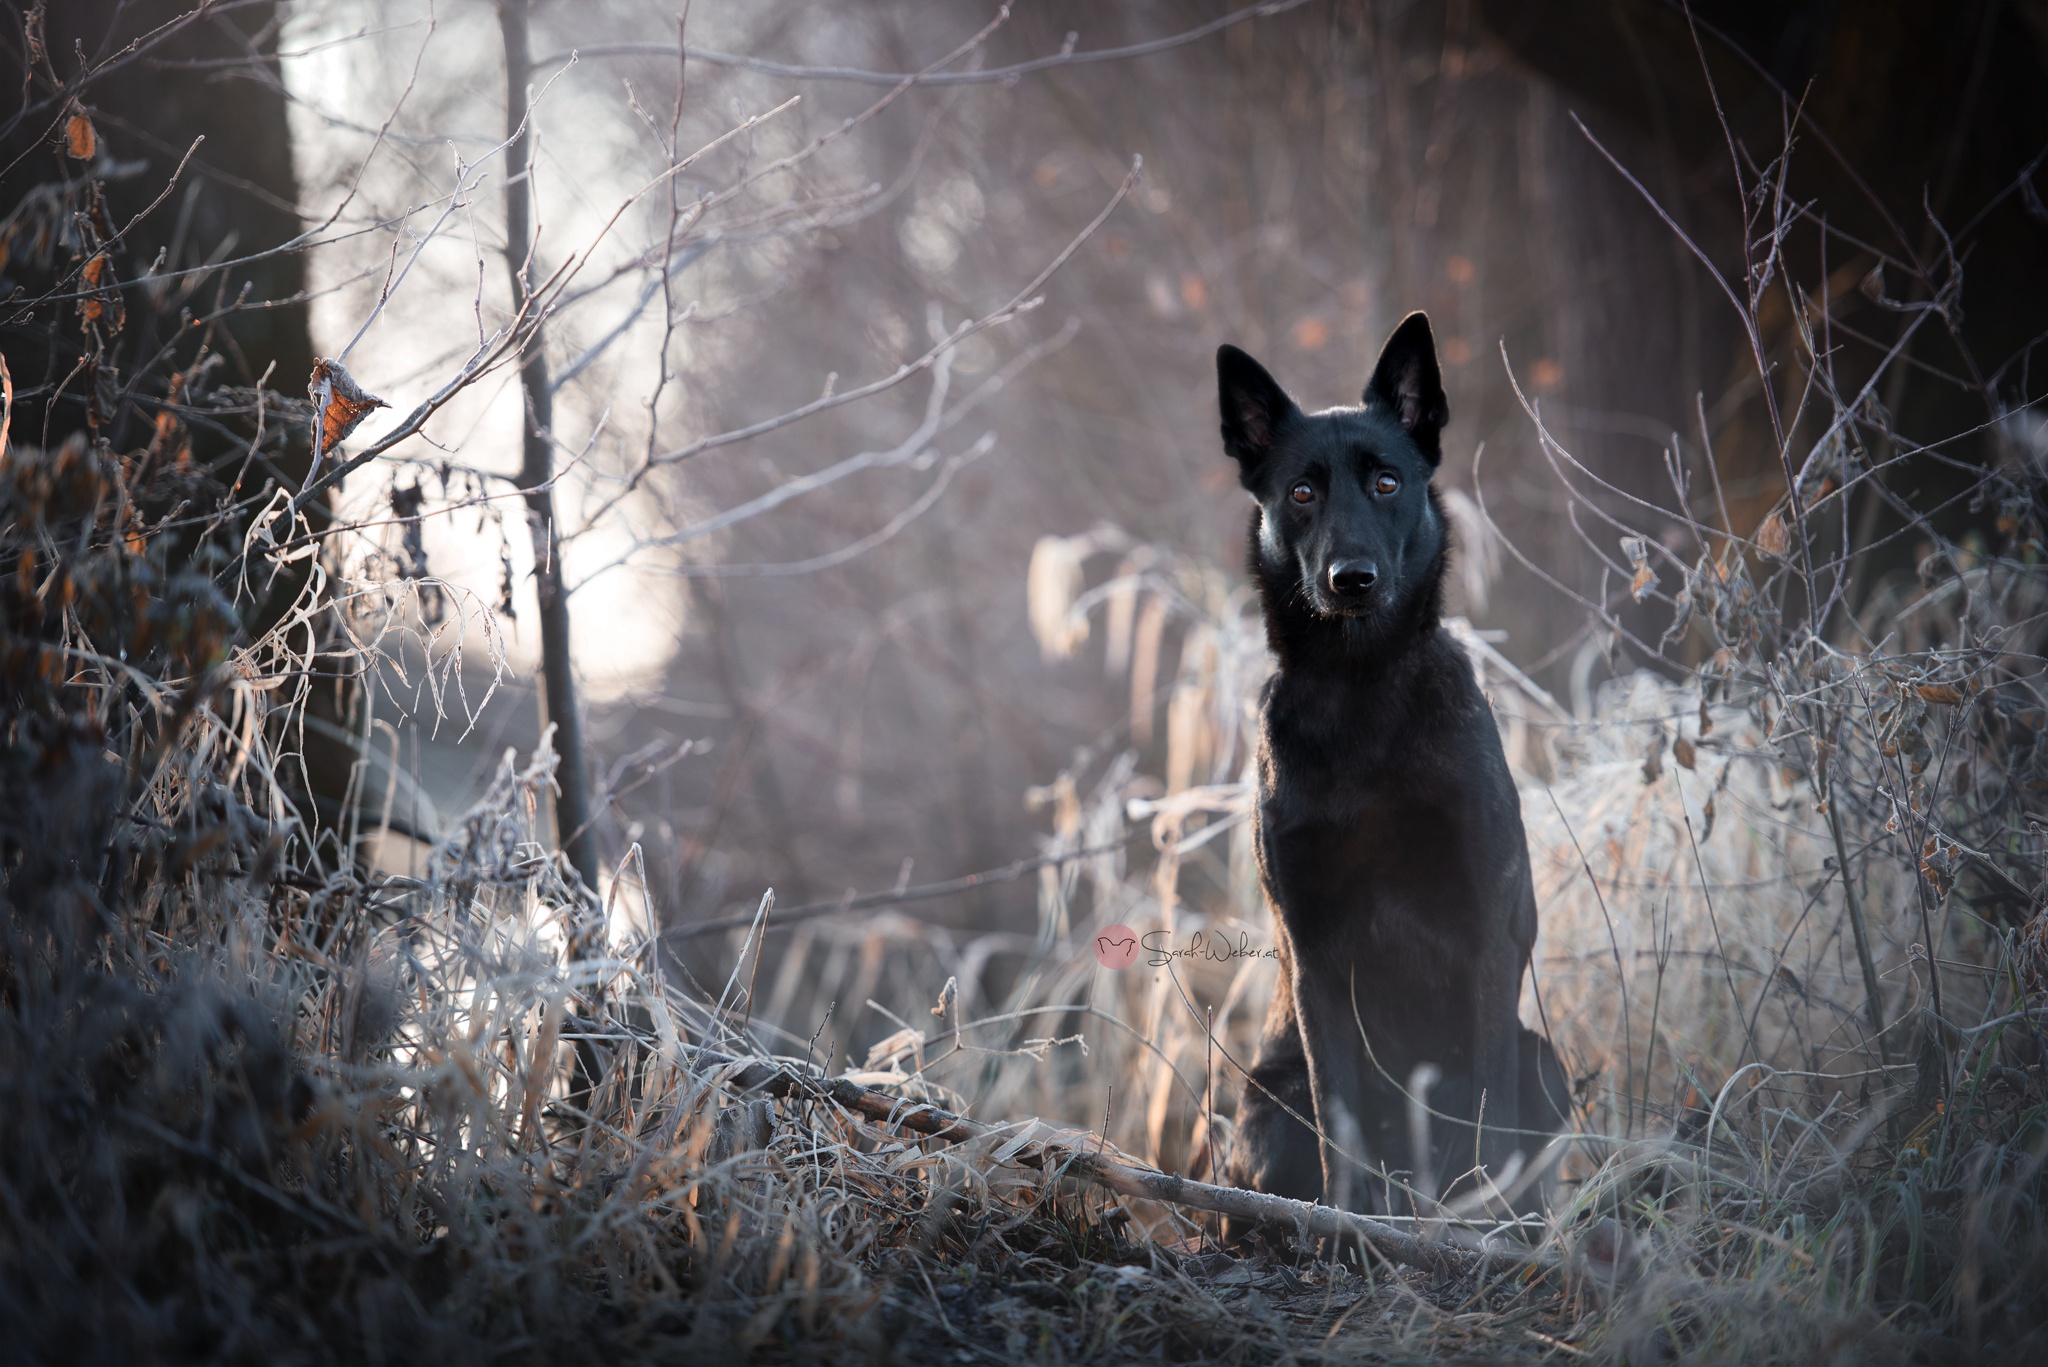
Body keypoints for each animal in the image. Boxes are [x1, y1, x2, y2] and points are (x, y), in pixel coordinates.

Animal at [1212, 315, 1564, 1213]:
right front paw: (1348, 1223)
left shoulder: (1488, 929)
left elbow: (1488, 1106)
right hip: (1264, 1098)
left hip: (1546, 1058)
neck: (1360, 689)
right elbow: (1339, 1112)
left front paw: (1488, 1216)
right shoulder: (1314, 952)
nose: (1353, 579)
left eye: (1385, 482)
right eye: (1302, 493)